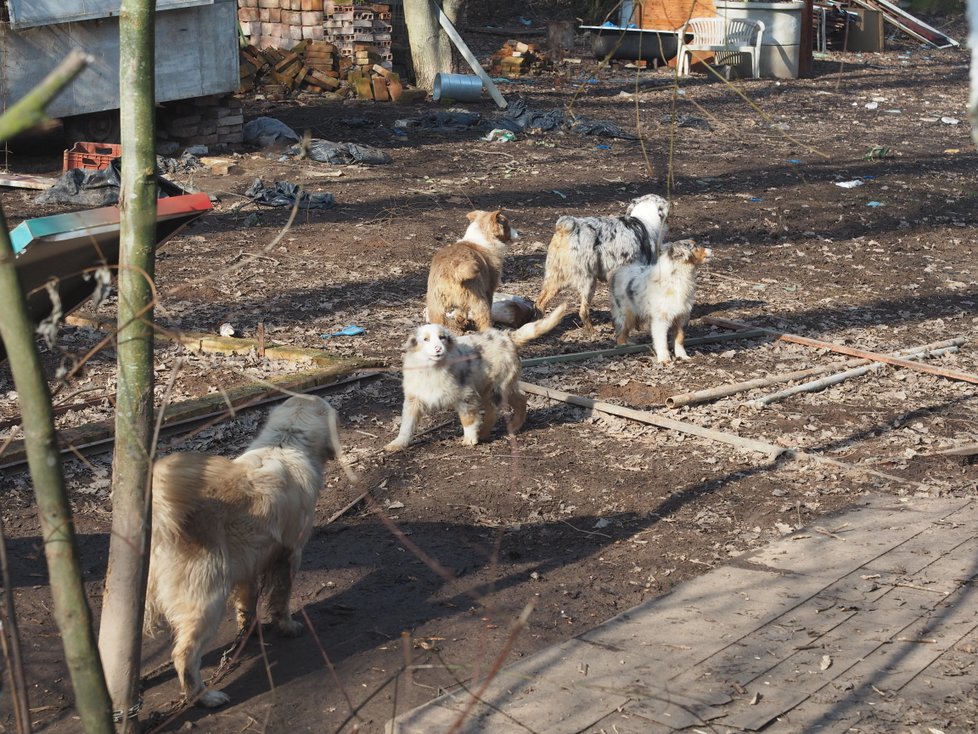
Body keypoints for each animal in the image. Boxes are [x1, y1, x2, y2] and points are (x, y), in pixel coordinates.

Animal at [143, 396, 346, 712]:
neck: (286, 440)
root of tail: (166, 521)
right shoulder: (290, 555)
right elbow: (281, 600)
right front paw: (287, 626)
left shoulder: (250, 565)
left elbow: (247, 604)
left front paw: (248, 631)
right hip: (208, 603)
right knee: (184, 656)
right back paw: (205, 697)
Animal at [382, 302, 564, 452]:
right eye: (425, 340)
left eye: (442, 338)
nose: (438, 348)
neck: (433, 369)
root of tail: (507, 337)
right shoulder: (413, 400)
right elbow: (406, 425)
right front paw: (397, 444)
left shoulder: (465, 395)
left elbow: (468, 419)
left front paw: (469, 439)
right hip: (494, 386)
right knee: (518, 398)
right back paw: (507, 426)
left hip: (496, 387)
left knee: (498, 410)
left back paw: (489, 431)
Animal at [528, 196, 668, 334]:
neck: (645, 219)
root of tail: (567, 226)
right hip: (589, 282)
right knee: (583, 312)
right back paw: (592, 332)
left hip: (555, 279)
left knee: (539, 303)